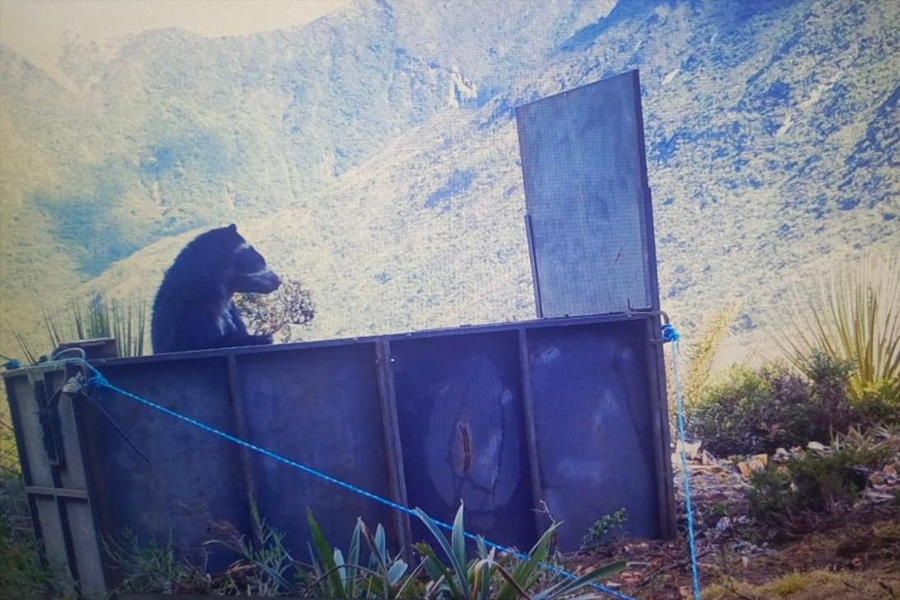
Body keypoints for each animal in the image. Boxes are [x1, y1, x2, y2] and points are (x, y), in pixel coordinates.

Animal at [151, 224, 281, 354]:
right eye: (259, 258)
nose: (278, 280)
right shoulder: (188, 313)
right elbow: (199, 343)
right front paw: (261, 338)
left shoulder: (230, 311)